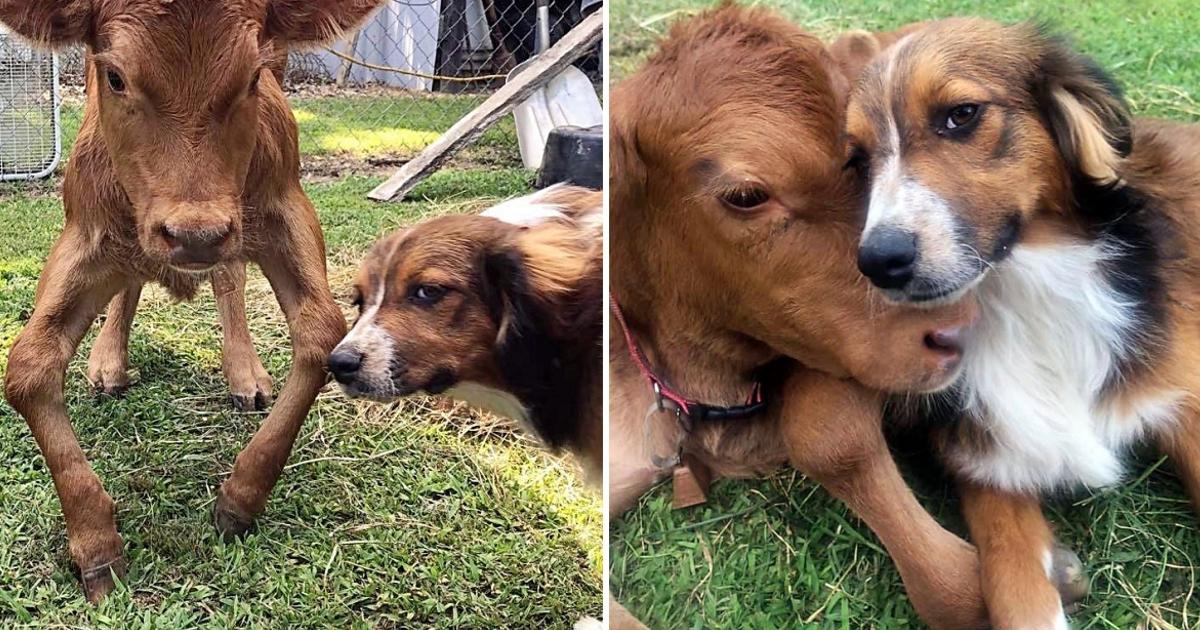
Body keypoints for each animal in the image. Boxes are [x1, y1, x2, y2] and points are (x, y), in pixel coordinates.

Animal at [0, 0, 381, 600]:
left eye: (253, 76)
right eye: (115, 76)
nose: (194, 235)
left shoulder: (283, 206)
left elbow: (322, 335)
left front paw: (242, 496)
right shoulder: (85, 231)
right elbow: (28, 367)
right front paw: (95, 542)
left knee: (229, 279)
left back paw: (244, 371)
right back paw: (110, 360)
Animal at [849, 17, 1200, 624]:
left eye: (961, 115)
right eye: (858, 160)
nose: (878, 262)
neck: (1020, 299)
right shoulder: (986, 461)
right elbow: (1016, 592)